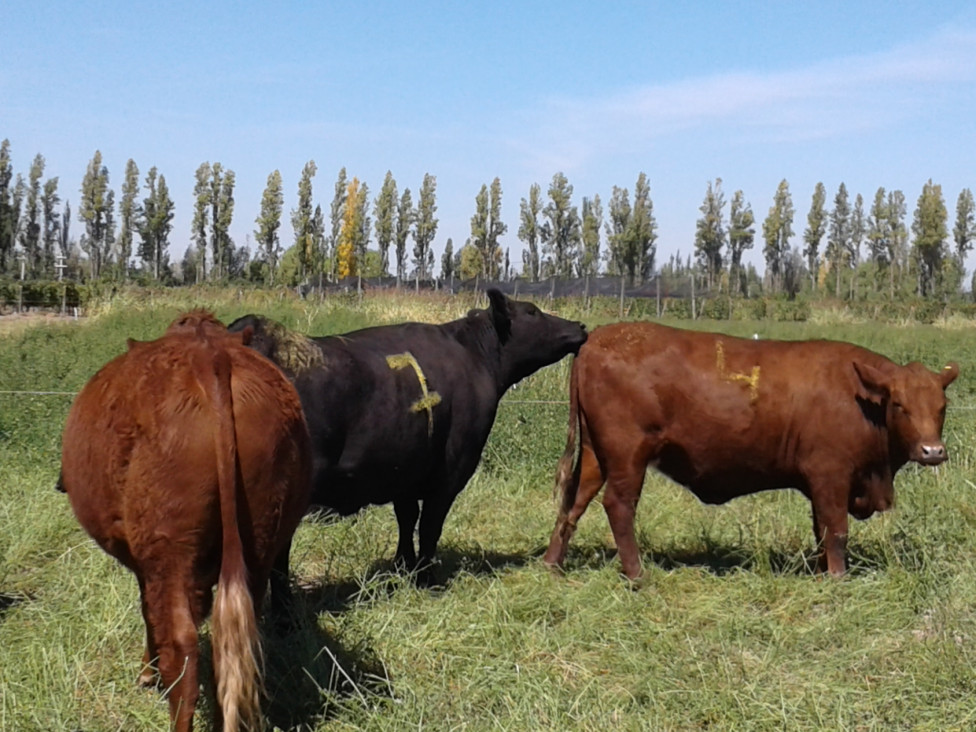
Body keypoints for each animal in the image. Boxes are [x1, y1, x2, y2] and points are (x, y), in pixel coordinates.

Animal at [56, 312, 312, 732]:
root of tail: (210, 359)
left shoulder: (146, 564)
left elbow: (148, 611)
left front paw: (147, 673)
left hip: (169, 550)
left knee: (183, 650)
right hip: (262, 538)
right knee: (236, 648)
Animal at [229, 288, 588, 584]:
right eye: (531, 311)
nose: (581, 326)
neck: (474, 356)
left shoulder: (404, 467)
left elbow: (406, 517)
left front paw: (404, 566)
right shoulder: (450, 472)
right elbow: (430, 525)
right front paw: (427, 577)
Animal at [544, 324, 956, 580]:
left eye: (942, 405)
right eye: (899, 404)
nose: (932, 451)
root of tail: (598, 338)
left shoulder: (821, 485)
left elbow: (820, 530)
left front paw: (821, 572)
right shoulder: (830, 475)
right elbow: (836, 530)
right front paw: (838, 578)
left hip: (597, 455)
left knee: (573, 503)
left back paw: (552, 565)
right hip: (628, 454)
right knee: (618, 506)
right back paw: (637, 574)